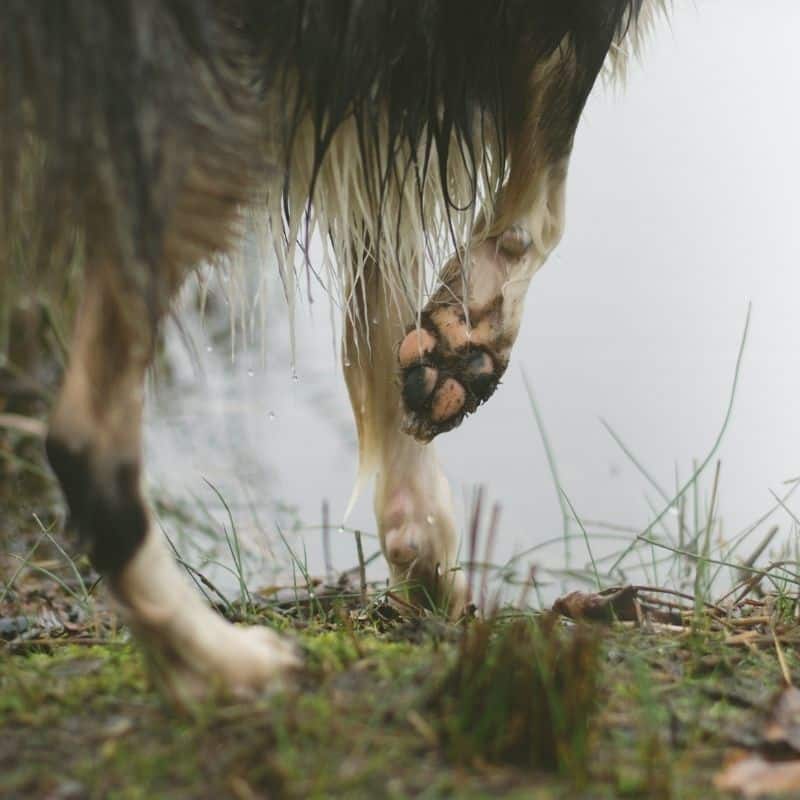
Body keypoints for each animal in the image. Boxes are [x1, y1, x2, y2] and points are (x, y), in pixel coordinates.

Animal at [0, 0, 664, 696]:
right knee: (85, 440)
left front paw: (423, 551)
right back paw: (221, 661)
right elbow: (546, 189)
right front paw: (470, 334)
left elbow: (384, 287)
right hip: (195, 106)